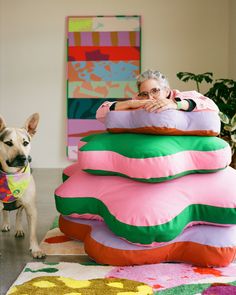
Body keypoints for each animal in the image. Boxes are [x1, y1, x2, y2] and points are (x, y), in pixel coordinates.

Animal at [0, 113, 45, 260]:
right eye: (8, 143)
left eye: (25, 143)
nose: (22, 158)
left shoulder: (31, 208)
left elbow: (33, 233)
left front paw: (35, 249)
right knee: (5, 212)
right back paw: (5, 224)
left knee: (19, 213)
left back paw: (19, 228)